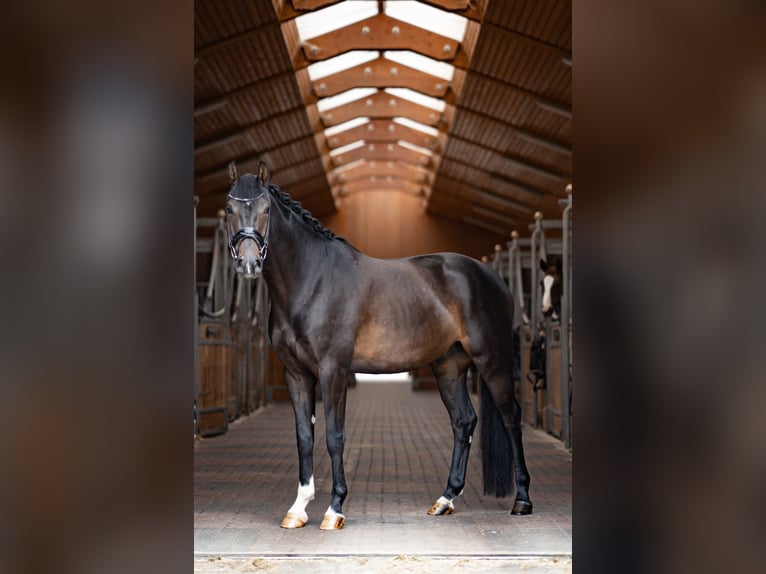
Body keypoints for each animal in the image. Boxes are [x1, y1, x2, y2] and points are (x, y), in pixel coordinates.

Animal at [225, 161, 532, 532]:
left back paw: (522, 500)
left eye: (266, 210)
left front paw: (335, 509)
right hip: (449, 367)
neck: (313, 280)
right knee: (464, 422)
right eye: (229, 209)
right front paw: (298, 509)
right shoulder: (296, 375)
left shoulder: (333, 370)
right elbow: (304, 437)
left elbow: (334, 436)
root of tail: (493, 277)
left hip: (492, 361)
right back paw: (445, 500)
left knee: (511, 419)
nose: (249, 264)